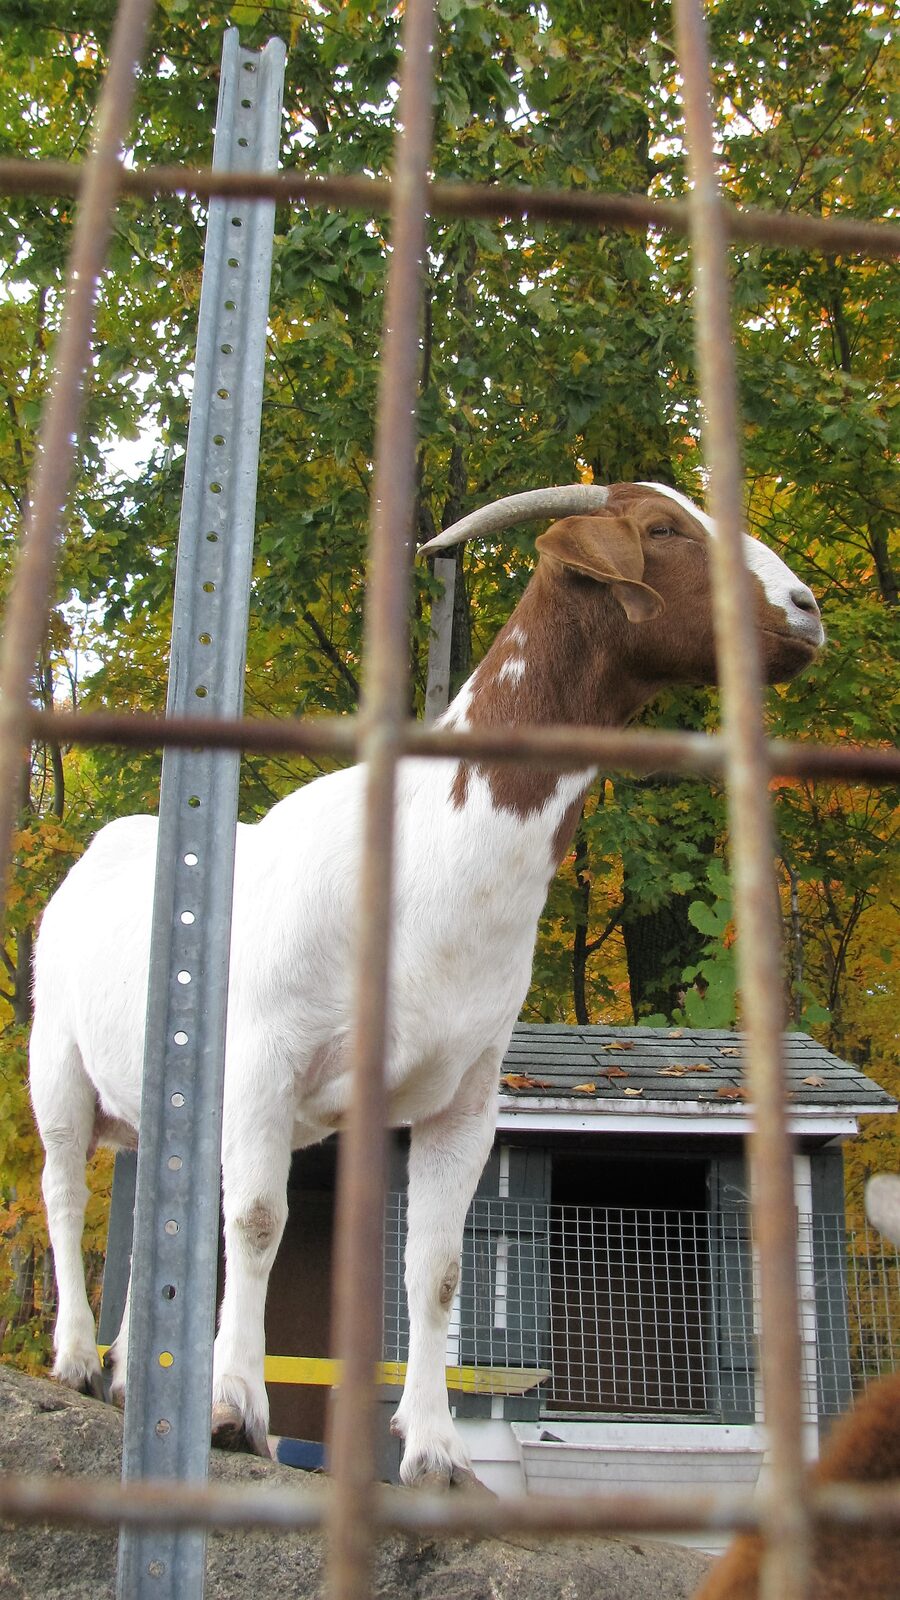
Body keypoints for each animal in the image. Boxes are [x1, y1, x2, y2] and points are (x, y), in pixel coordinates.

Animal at [29, 481, 824, 1486]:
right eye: (661, 529)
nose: (806, 610)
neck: (429, 847)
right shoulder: (261, 1060)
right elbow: (255, 1219)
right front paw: (232, 1409)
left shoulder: (465, 1095)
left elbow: (434, 1265)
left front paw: (437, 1448)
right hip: (56, 1058)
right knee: (65, 1188)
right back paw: (73, 1360)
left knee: (144, 1212)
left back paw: (130, 1374)